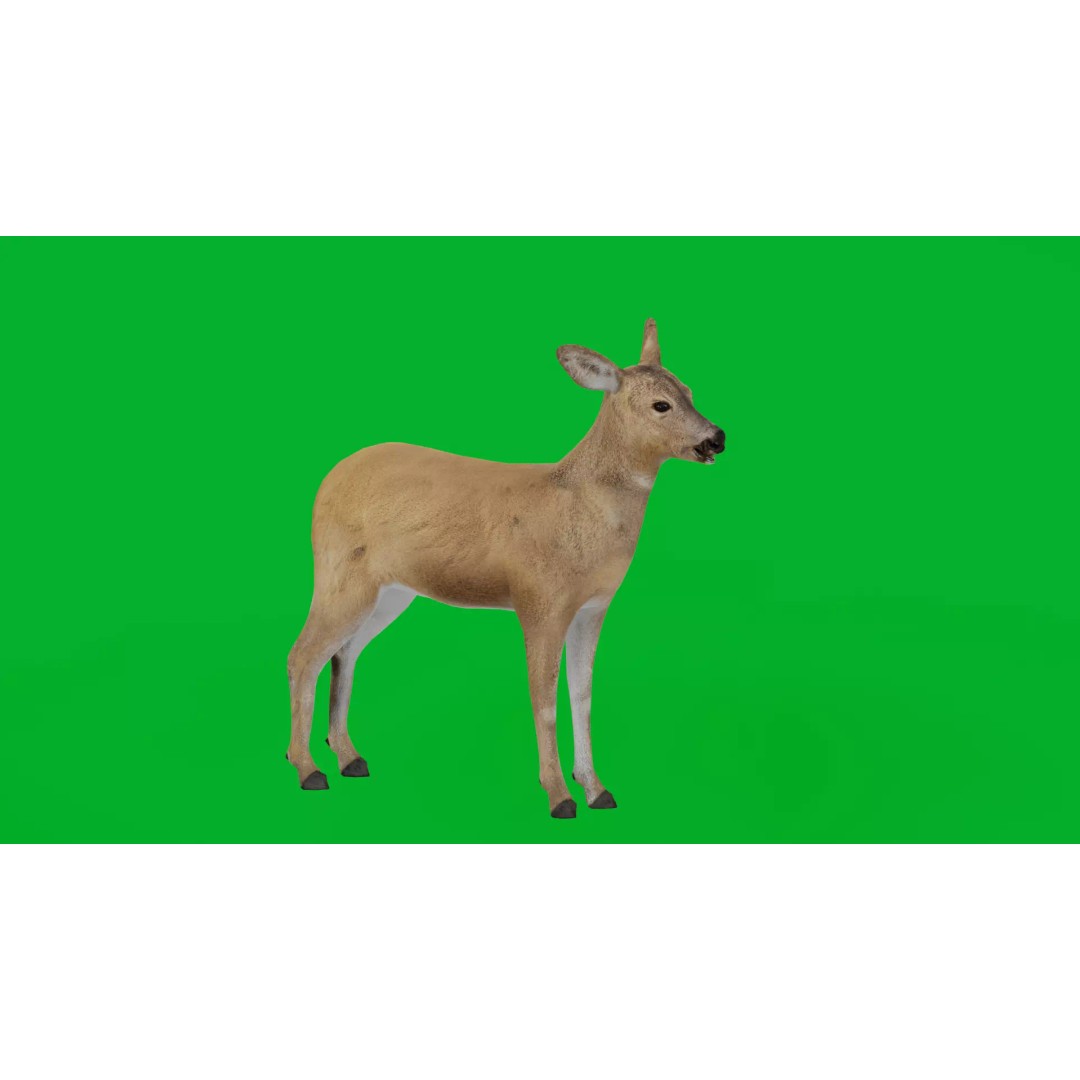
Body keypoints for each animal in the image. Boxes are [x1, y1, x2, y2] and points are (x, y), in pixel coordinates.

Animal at [286, 318, 726, 817]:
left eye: (690, 390)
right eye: (661, 405)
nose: (717, 438)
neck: (579, 505)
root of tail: (327, 481)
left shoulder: (593, 607)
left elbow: (582, 696)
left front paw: (597, 789)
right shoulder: (539, 598)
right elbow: (544, 700)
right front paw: (559, 796)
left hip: (390, 591)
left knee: (344, 652)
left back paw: (349, 757)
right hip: (339, 571)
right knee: (303, 654)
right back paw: (308, 769)